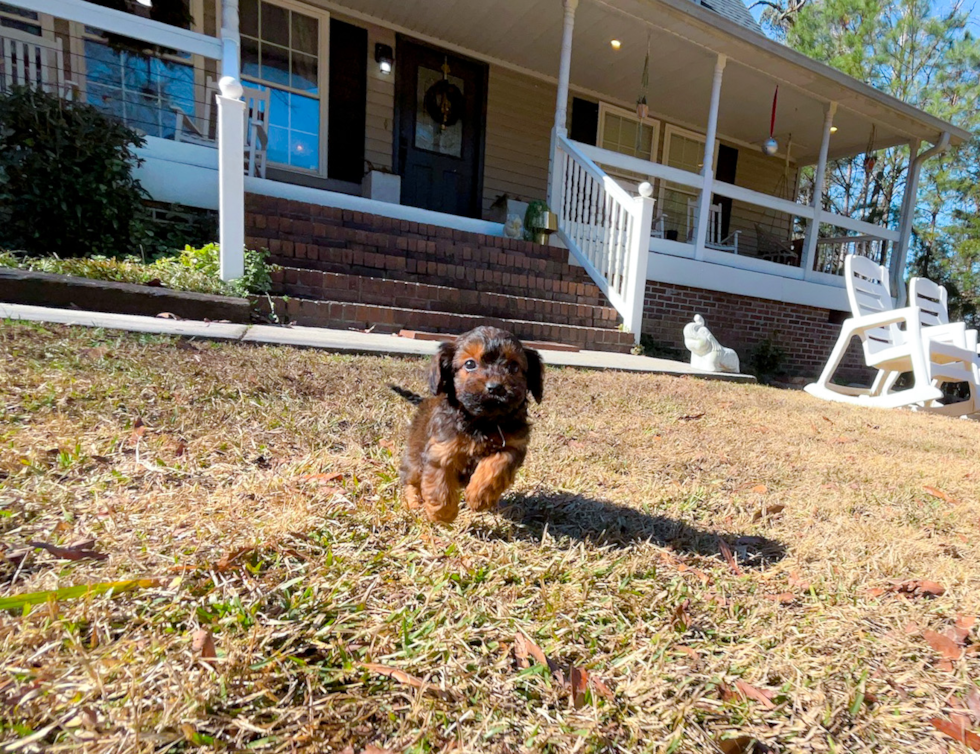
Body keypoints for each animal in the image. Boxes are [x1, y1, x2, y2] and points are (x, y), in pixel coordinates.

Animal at [390, 324, 544, 524]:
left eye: (514, 366)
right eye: (470, 364)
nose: (495, 387)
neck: (483, 422)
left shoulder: (513, 446)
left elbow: (497, 465)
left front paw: (480, 496)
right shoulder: (441, 449)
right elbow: (439, 482)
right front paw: (443, 513)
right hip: (415, 454)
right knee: (411, 479)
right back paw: (413, 502)